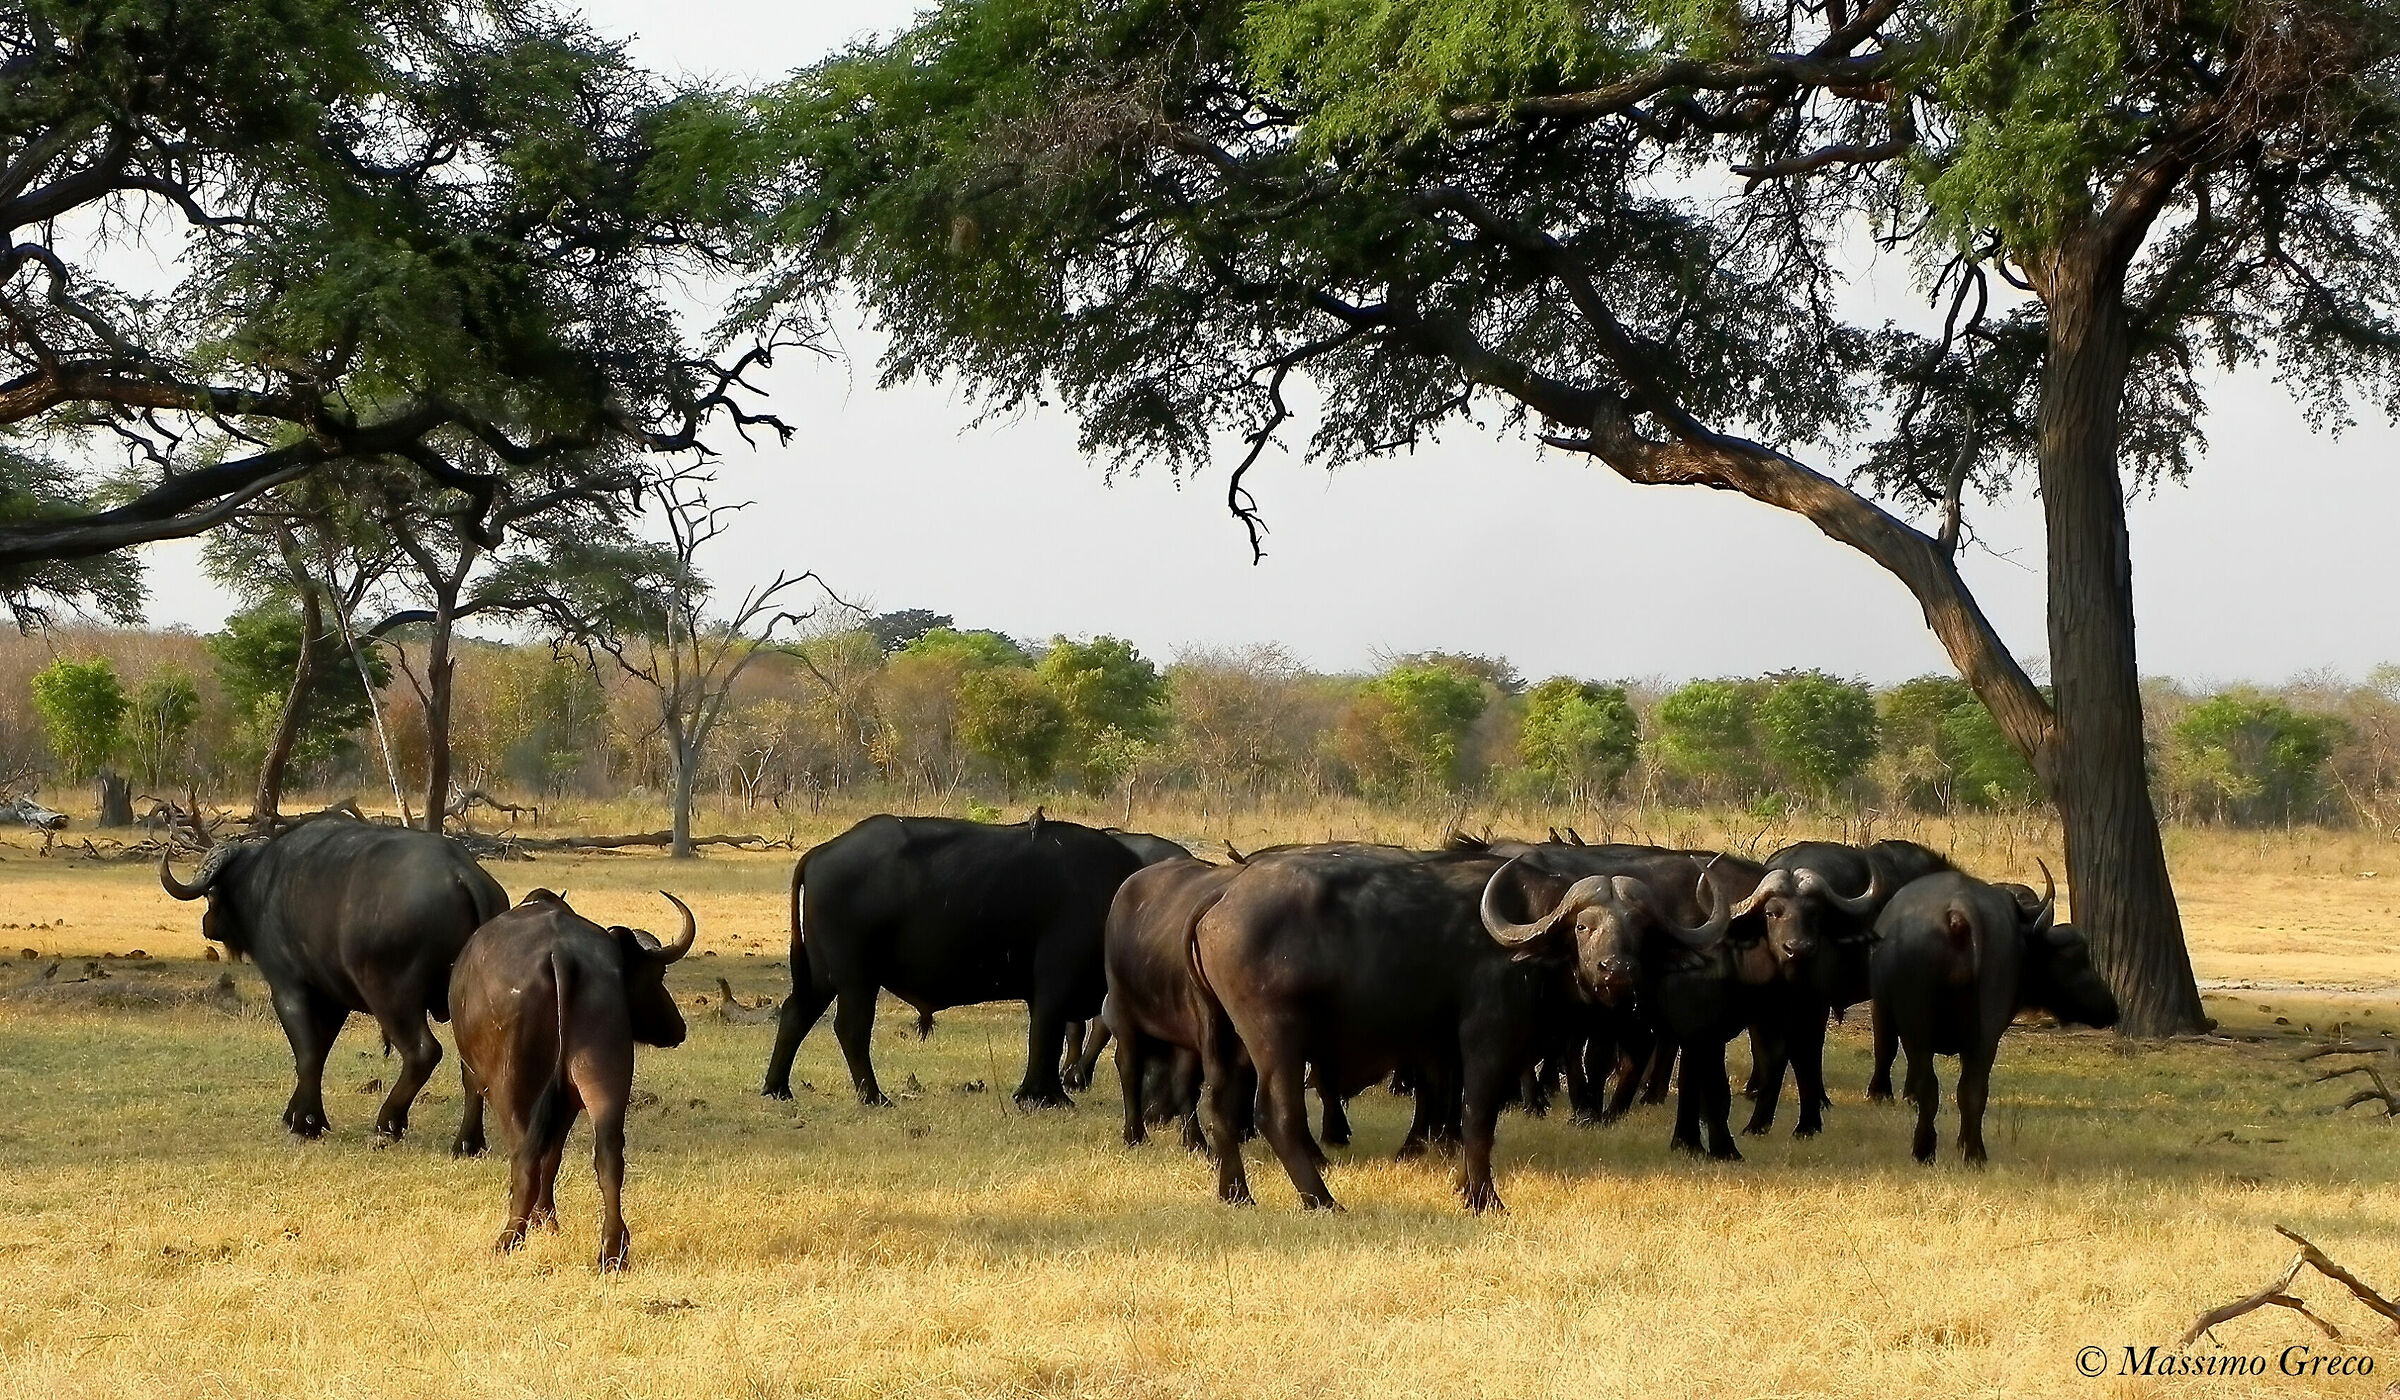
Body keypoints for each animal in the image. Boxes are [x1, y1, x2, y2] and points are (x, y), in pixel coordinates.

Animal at [159, 818, 507, 1142]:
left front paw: (305, 1123)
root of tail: (462, 873)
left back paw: (388, 1123)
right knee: (472, 1068)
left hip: (392, 997)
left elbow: (308, 1054)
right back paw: (468, 1141)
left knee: (423, 1052)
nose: (207, 923)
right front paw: (302, 1114)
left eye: (211, 894)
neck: (263, 884)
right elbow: (321, 1051)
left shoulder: (289, 989)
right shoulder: (334, 1001)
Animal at [451, 889, 695, 1269]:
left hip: (512, 1086)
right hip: (604, 1072)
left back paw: (509, 1237)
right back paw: (613, 1248)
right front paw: (548, 1220)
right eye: (658, 976)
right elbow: (555, 1157)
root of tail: (561, 956)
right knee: (608, 1152)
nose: (678, 1028)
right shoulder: (567, 1101)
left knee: (525, 1156)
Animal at [761, 813, 1146, 1107]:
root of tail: (821, 852)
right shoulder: (1054, 986)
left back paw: (777, 1088)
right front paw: (1044, 1097)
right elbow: (1046, 1037)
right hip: (857, 978)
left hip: (823, 975)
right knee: (850, 1029)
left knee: (796, 1014)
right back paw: (873, 1096)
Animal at [1867, 866, 2117, 1163]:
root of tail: (1958, 913)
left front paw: (1880, 1094)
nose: (2110, 1007)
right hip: (1985, 1031)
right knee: (1972, 1089)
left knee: (1931, 1084)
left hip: (1918, 1026)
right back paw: (1974, 1153)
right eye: (2076, 958)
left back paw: (1924, 1151)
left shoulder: (1882, 1007)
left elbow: (1885, 1049)